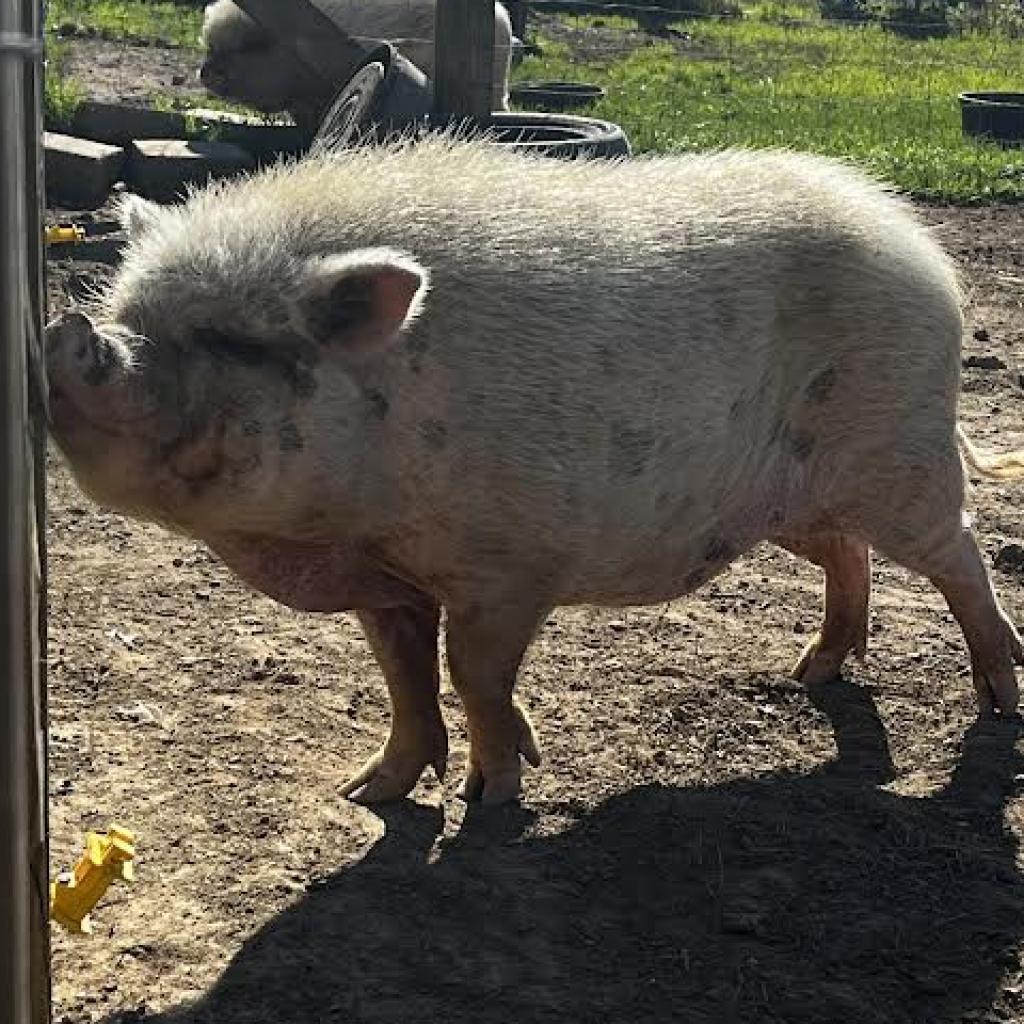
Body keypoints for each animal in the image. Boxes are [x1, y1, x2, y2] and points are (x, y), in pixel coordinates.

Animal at [46, 138, 1024, 806]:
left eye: (230, 338)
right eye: (134, 314)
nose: (73, 332)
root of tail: (923, 252)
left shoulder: (508, 567)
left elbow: (472, 673)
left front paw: (495, 792)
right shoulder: (386, 581)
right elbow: (403, 677)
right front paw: (367, 792)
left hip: (901, 451)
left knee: (961, 554)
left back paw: (999, 700)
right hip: (783, 503)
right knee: (850, 555)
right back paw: (812, 673)